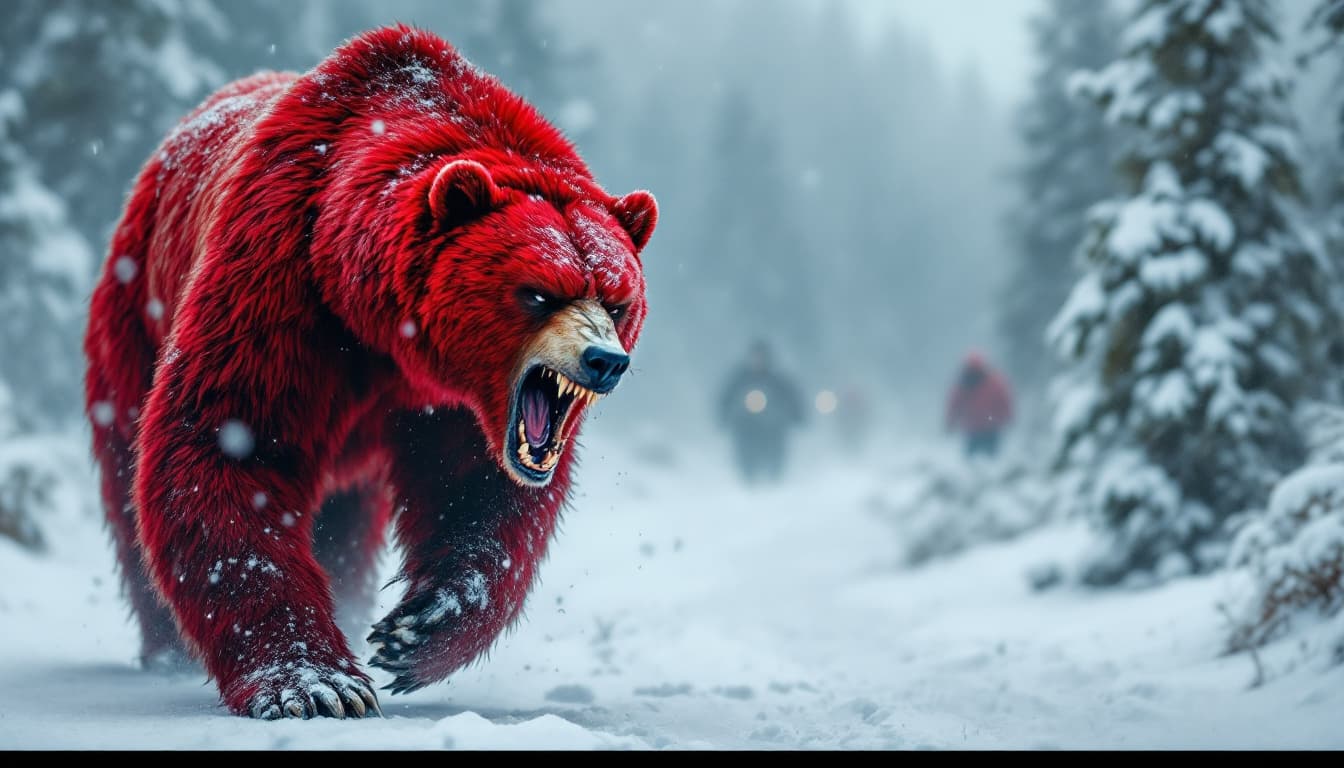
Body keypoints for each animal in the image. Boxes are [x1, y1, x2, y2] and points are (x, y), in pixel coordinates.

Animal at [83, 26, 657, 719]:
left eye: (617, 298)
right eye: (540, 292)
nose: (605, 361)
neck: (387, 336)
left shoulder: (453, 404)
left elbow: (479, 489)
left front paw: (416, 632)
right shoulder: (282, 279)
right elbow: (229, 443)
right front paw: (318, 685)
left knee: (346, 524)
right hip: (134, 312)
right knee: (127, 473)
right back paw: (166, 648)